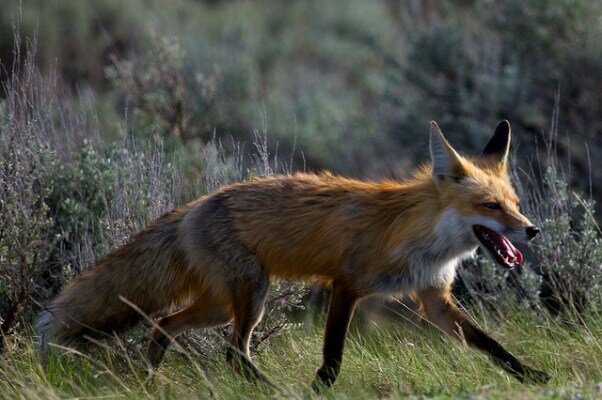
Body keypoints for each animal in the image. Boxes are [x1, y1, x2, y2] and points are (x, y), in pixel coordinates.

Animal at [35, 120, 548, 390]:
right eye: (491, 207)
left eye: (516, 203)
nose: (533, 229)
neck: (423, 240)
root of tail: (192, 207)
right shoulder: (348, 284)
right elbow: (334, 352)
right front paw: (322, 389)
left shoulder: (434, 299)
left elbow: (491, 344)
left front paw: (530, 375)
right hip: (252, 296)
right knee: (232, 352)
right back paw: (269, 389)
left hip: (220, 305)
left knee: (165, 324)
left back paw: (149, 379)